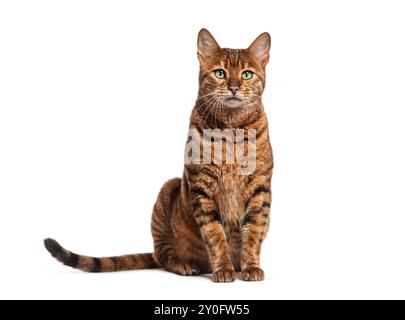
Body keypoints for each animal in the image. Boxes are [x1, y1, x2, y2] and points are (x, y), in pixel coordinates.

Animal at [44, 28, 274, 282]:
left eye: (246, 74)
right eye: (220, 73)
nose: (234, 87)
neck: (232, 129)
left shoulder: (260, 189)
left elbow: (253, 233)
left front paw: (250, 266)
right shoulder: (201, 187)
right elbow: (215, 235)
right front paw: (223, 268)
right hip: (167, 192)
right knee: (163, 256)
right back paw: (184, 264)